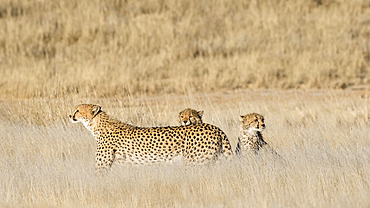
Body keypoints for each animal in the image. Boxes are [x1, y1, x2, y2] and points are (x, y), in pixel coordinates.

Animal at [69, 104, 231, 172]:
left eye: (77, 110)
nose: (70, 115)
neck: (97, 125)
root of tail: (215, 128)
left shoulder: (102, 165)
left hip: (195, 164)